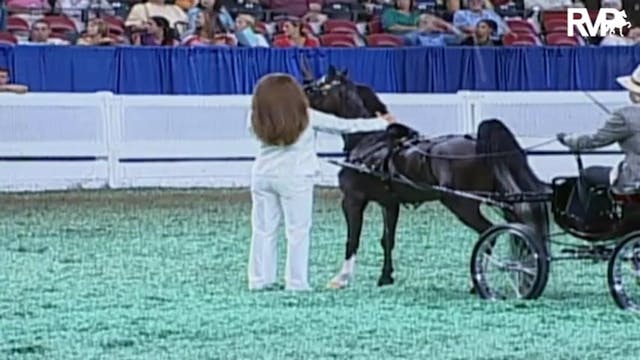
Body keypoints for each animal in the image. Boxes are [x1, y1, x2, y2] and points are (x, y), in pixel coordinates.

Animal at [302, 63, 552, 292]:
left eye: (318, 87)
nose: (302, 94)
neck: (368, 142)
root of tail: (480, 145)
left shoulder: (353, 200)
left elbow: (352, 239)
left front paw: (341, 279)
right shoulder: (389, 203)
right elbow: (387, 240)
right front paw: (385, 277)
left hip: (462, 204)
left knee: (488, 232)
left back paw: (478, 282)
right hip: (499, 198)